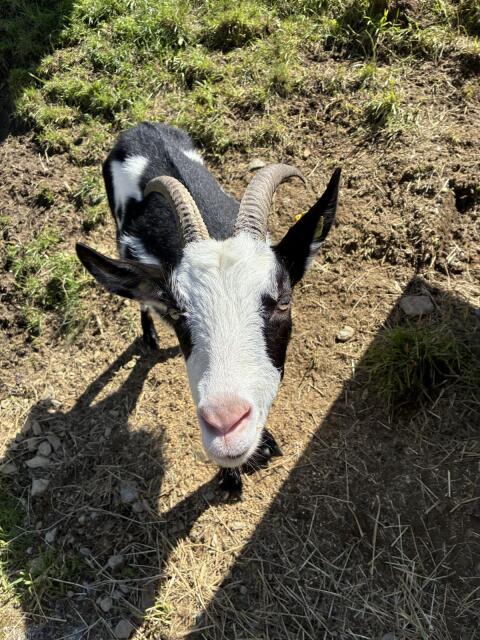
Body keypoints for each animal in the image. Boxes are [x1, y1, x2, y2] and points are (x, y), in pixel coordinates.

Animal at [76, 122, 340, 494]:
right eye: (178, 313)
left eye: (283, 301)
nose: (225, 426)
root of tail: (140, 127)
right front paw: (231, 479)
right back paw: (150, 336)